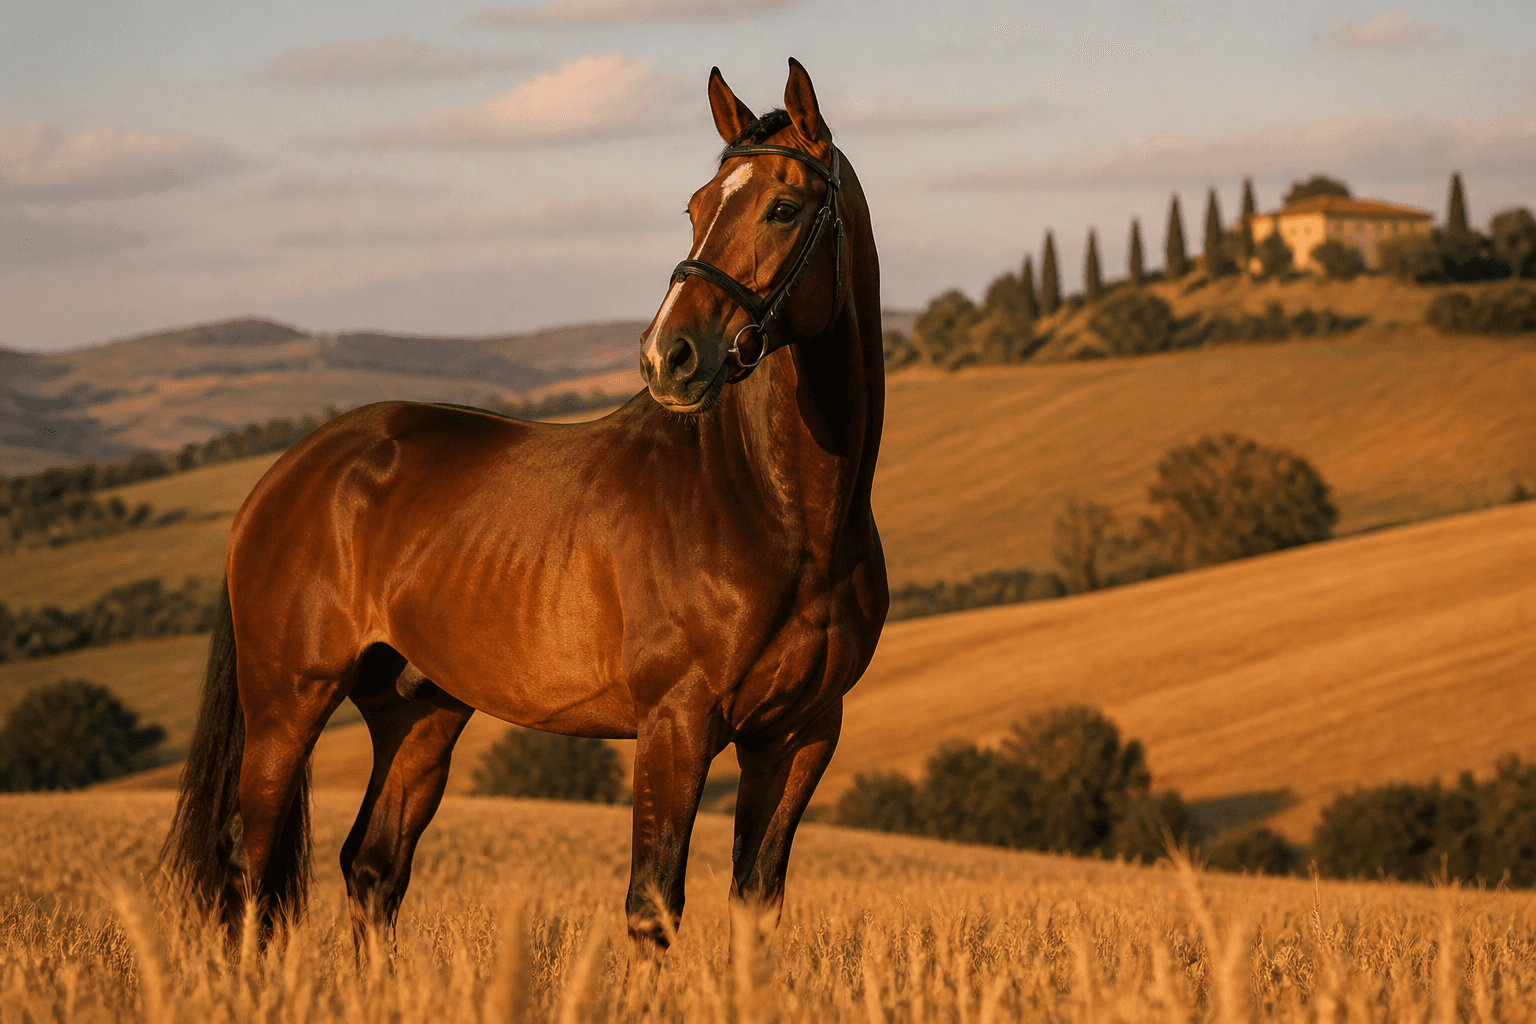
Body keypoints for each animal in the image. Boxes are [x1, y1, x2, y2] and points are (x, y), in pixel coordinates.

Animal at [161, 57, 888, 952]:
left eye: (784, 209)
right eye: (695, 208)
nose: (670, 356)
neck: (781, 510)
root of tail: (285, 477)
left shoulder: (800, 735)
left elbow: (754, 903)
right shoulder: (676, 724)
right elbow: (652, 904)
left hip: (419, 713)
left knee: (372, 869)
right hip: (285, 706)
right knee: (250, 868)